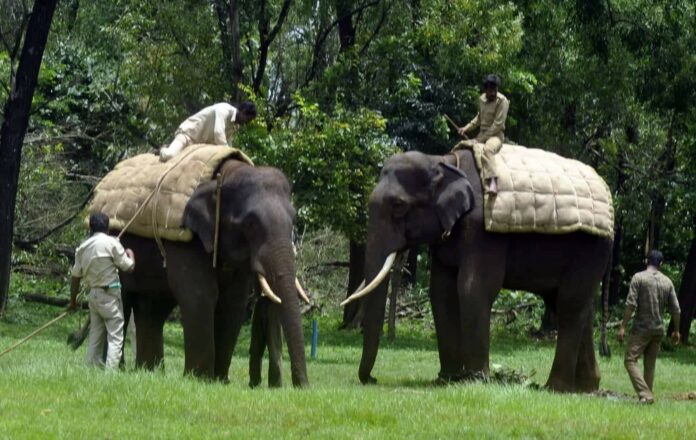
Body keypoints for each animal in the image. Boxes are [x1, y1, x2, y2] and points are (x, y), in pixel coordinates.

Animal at [118, 158, 309, 387]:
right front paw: (199, 379)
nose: (303, 387)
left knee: (153, 307)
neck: (226, 173)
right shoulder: (187, 237)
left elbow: (233, 302)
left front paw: (220, 381)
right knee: (121, 301)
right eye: (250, 224)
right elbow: (200, 295)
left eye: (294, 220)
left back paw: (150, 371)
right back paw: (114, 368)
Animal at [345, 149, 612, 392]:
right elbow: (441, 293)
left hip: (592, 248)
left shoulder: (482, 231)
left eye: (399, 205)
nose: (373, 379)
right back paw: (587, 388)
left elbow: (473, 288)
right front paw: (447, 379)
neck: (444, 161)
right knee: (574, 305)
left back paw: (555, 388)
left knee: (569, 304)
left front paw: (474, 380)